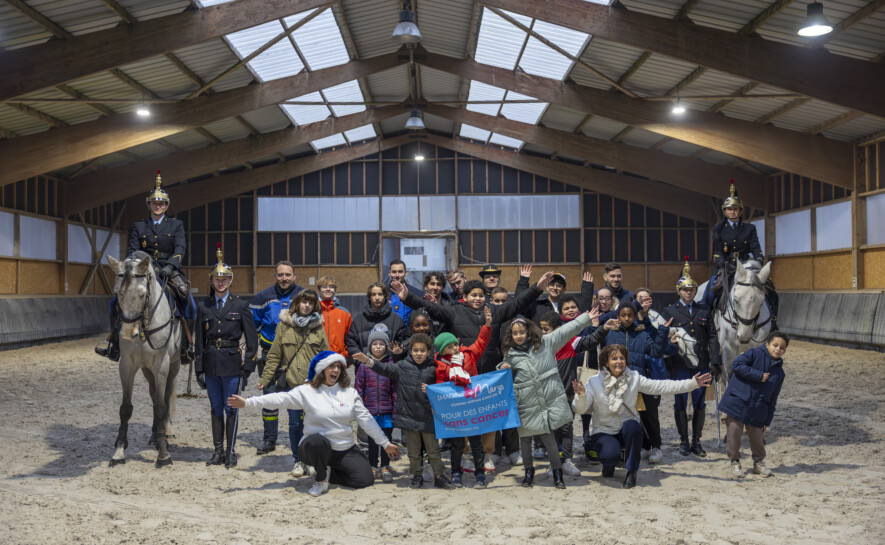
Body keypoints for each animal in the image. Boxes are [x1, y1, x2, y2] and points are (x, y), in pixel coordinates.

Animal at [107, 251, 181, 468]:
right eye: (118, 293)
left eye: (142, 294)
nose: (127, 333)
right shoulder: (127, 365)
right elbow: (125, 408)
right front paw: (119, 452)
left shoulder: (162, 365)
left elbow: (162, 406)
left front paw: (164, 455)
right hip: (147, 370)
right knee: (154, 395)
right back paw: (155, 436)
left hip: (173, 365)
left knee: (165, 395)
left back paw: (166, 432)